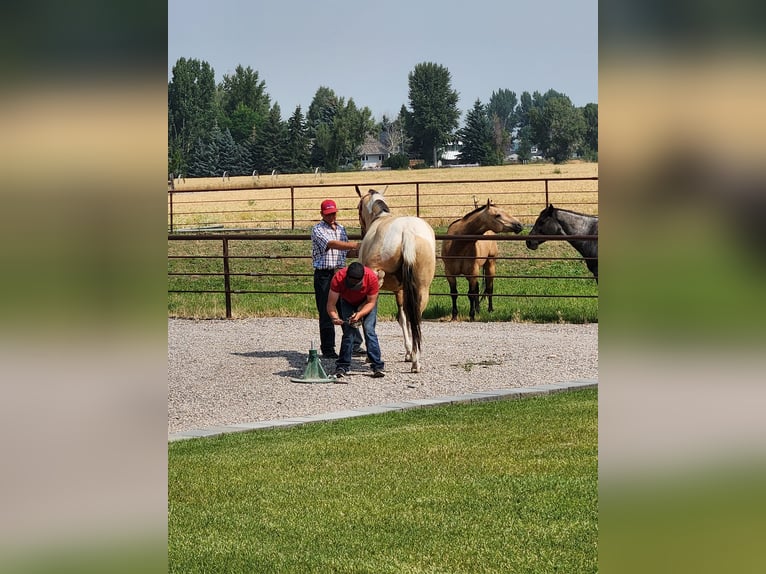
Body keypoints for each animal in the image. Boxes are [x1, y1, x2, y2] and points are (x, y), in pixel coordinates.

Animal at [356, 187, 436, 376]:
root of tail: (407, 232)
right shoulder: (401, 290)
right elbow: (403, 317)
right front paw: (408, 352)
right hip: (422, 289)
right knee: (416, 319)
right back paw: (416, 360)